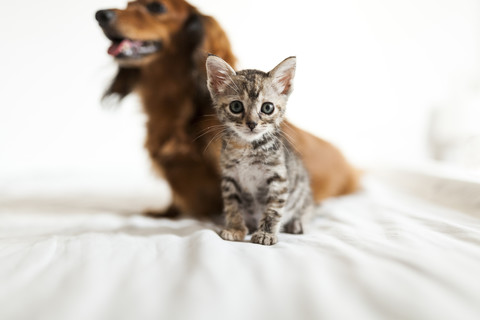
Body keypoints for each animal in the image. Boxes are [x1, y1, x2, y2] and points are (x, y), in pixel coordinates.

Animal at [206, 55, 316, 245]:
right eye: (236, 106)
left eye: (267, 108)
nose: (252, 123)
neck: (247, 147)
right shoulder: (230, 177)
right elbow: (232, 206)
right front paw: (235, 229)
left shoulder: (278, 178)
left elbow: (273, 209)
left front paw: (266, 233)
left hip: (302, 187)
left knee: (307, 207)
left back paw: (298, 223)